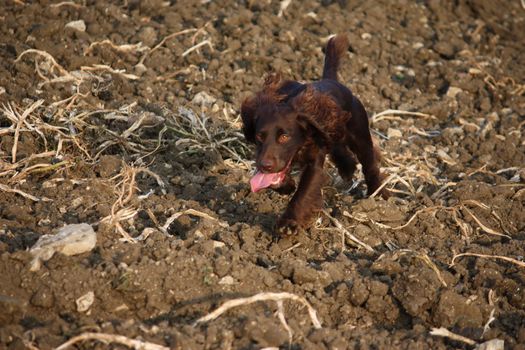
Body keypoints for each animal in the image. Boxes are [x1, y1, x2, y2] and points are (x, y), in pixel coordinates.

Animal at [241, 33, 384, 235]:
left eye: (284, 137)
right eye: (260, 136)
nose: (265, 166)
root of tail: (333, 81)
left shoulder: (314, 163)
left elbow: (304, 192)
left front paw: (288, 223)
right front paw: (286, 186)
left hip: (360, 135)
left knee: (369, 164)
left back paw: (378, 193)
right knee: (339, 149)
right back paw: (347, 167)